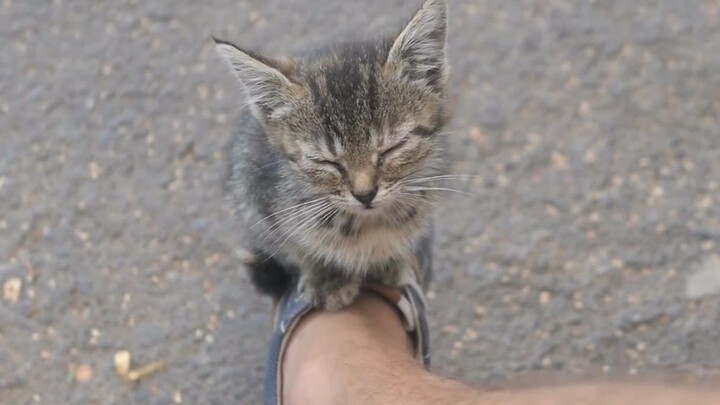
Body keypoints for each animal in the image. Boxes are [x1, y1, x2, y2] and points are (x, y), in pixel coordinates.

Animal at [215, 0, 450, 310]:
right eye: (327, 162)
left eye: (391, 149)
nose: (365, 195)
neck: (369, 225)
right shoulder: (257, 203)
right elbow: (297, 247)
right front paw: (328, 278)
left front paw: (391, 263)